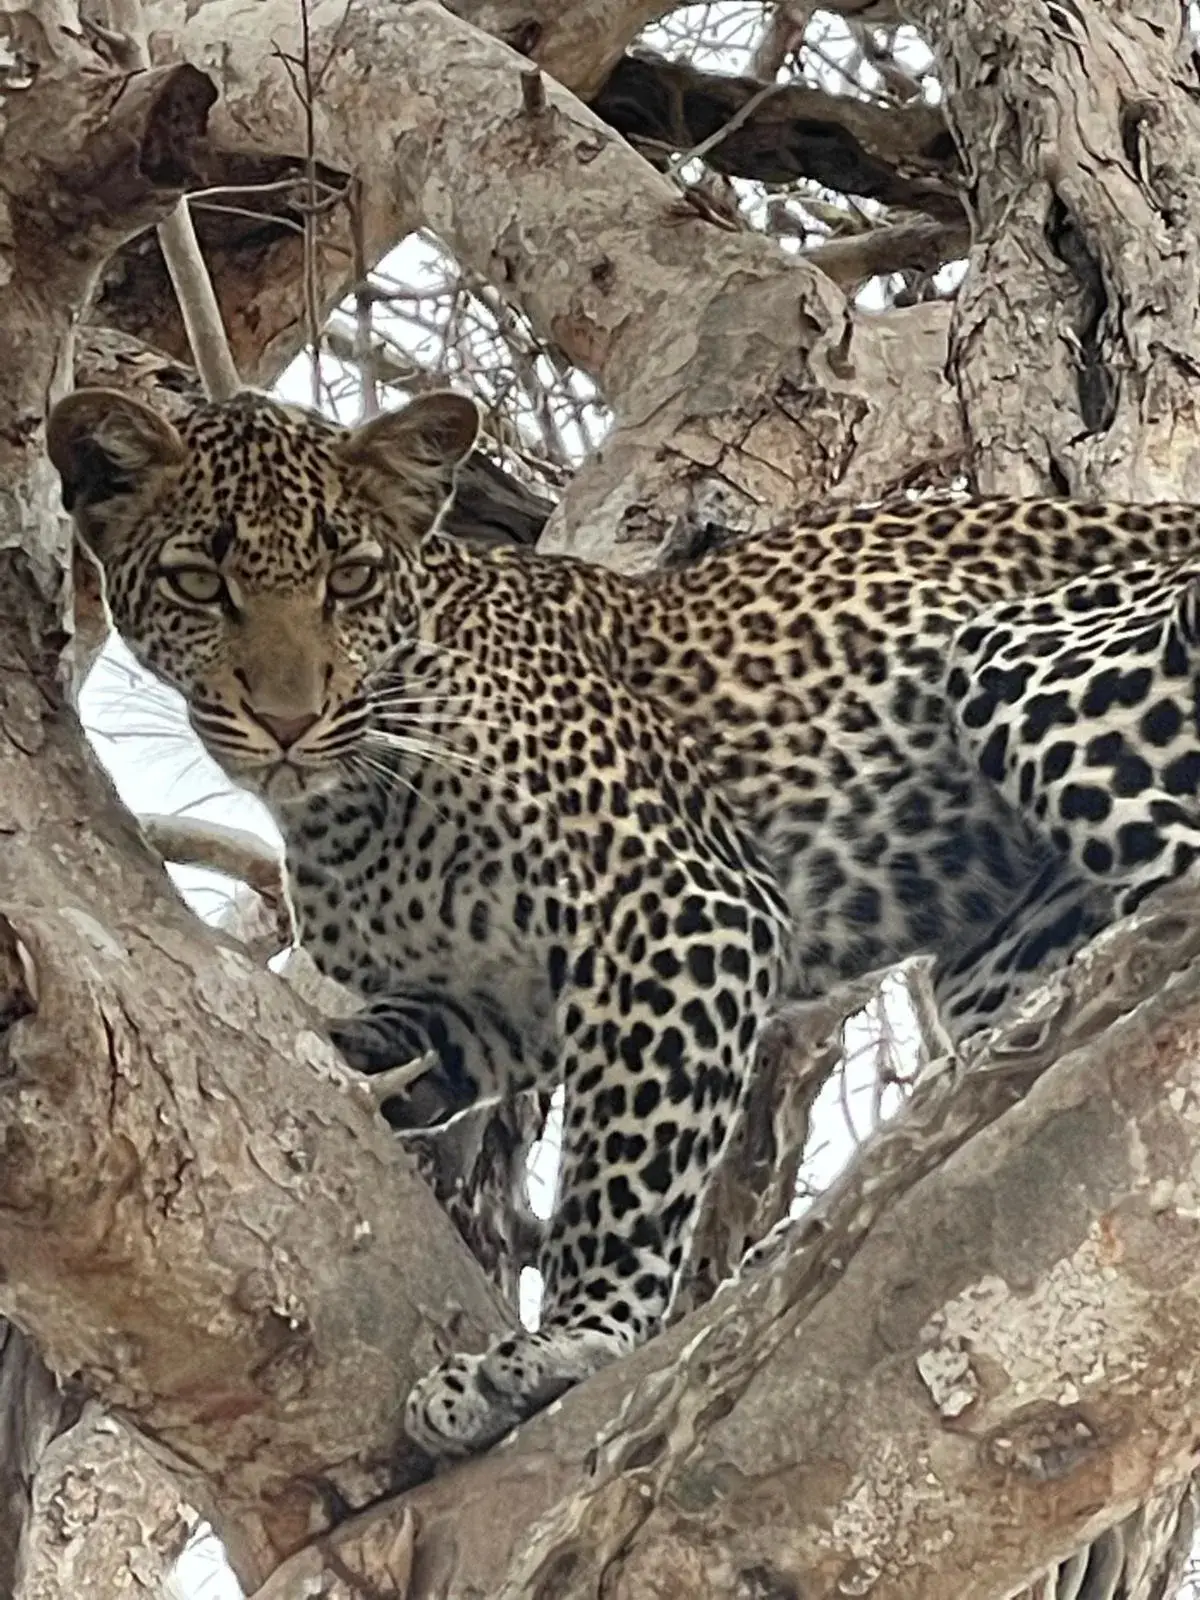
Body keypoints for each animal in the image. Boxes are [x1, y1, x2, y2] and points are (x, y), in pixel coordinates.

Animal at [45, 383, 1200, 1461]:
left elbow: (625, 1177)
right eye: (201, 583)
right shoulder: (495, 1008)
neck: (348, 802)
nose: (288, 718)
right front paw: (341, 1052)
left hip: (1018, 659)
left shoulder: (680, 907)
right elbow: (403, 1047)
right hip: (1005, 942)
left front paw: (569, 1346)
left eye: (352, 580)